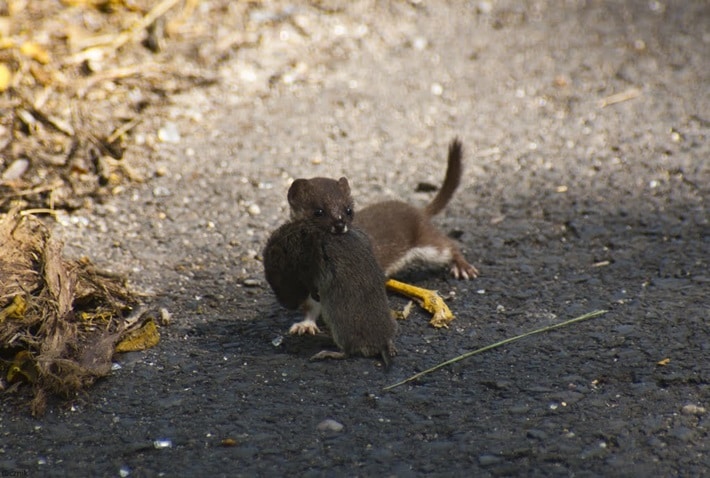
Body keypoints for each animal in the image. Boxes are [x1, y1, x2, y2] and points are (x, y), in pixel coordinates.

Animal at [262, 177, 398, 364]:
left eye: (348, 210)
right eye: (318, 211)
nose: (340, 225)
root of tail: (380, 340)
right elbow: (310, 309)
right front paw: (305, 326)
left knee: (348, 350)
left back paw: (326, 352)